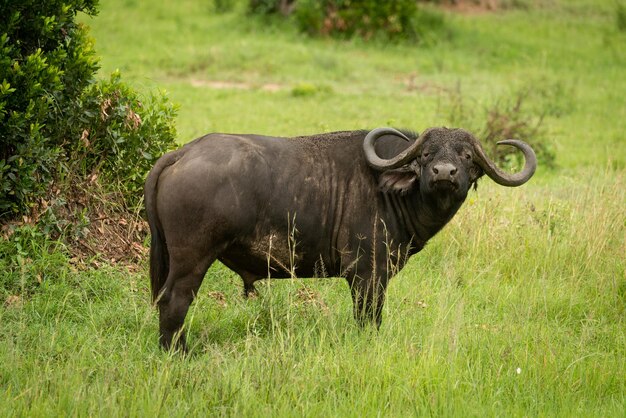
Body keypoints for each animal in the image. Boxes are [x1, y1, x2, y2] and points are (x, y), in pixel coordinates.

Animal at [144, 126, 532, 350]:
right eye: (425, 154)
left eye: (465, 155)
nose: (443, 173)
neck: (391, 190)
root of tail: (182, 153)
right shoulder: (367, 274)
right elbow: (369, 318)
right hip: (192, 259)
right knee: (175, 302)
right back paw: (179, 352)